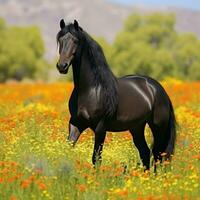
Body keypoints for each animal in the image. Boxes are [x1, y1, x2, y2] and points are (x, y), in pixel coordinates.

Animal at [55, 19, 176, 171]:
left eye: (76, 41)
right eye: (60, 40)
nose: (62, 66)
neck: (91, 90)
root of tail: (158, 89)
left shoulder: (100, 128)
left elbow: (96, 159)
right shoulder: (76, 123)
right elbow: (68, 148)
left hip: (158, 127)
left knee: (159, 154)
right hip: (136, 127)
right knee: (145, 153)